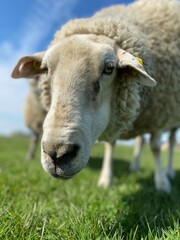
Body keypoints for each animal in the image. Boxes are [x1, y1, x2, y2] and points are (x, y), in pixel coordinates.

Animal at [11, 0, 180, 191]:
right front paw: (106, 179)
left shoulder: (159, 114)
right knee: (140, 141)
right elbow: (111, 145)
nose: (57, 153)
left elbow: (156, 147)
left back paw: (169, 172)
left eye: (109, 68)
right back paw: (135, 166)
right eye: (45, 69)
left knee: (171, 142)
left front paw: (162, 184)